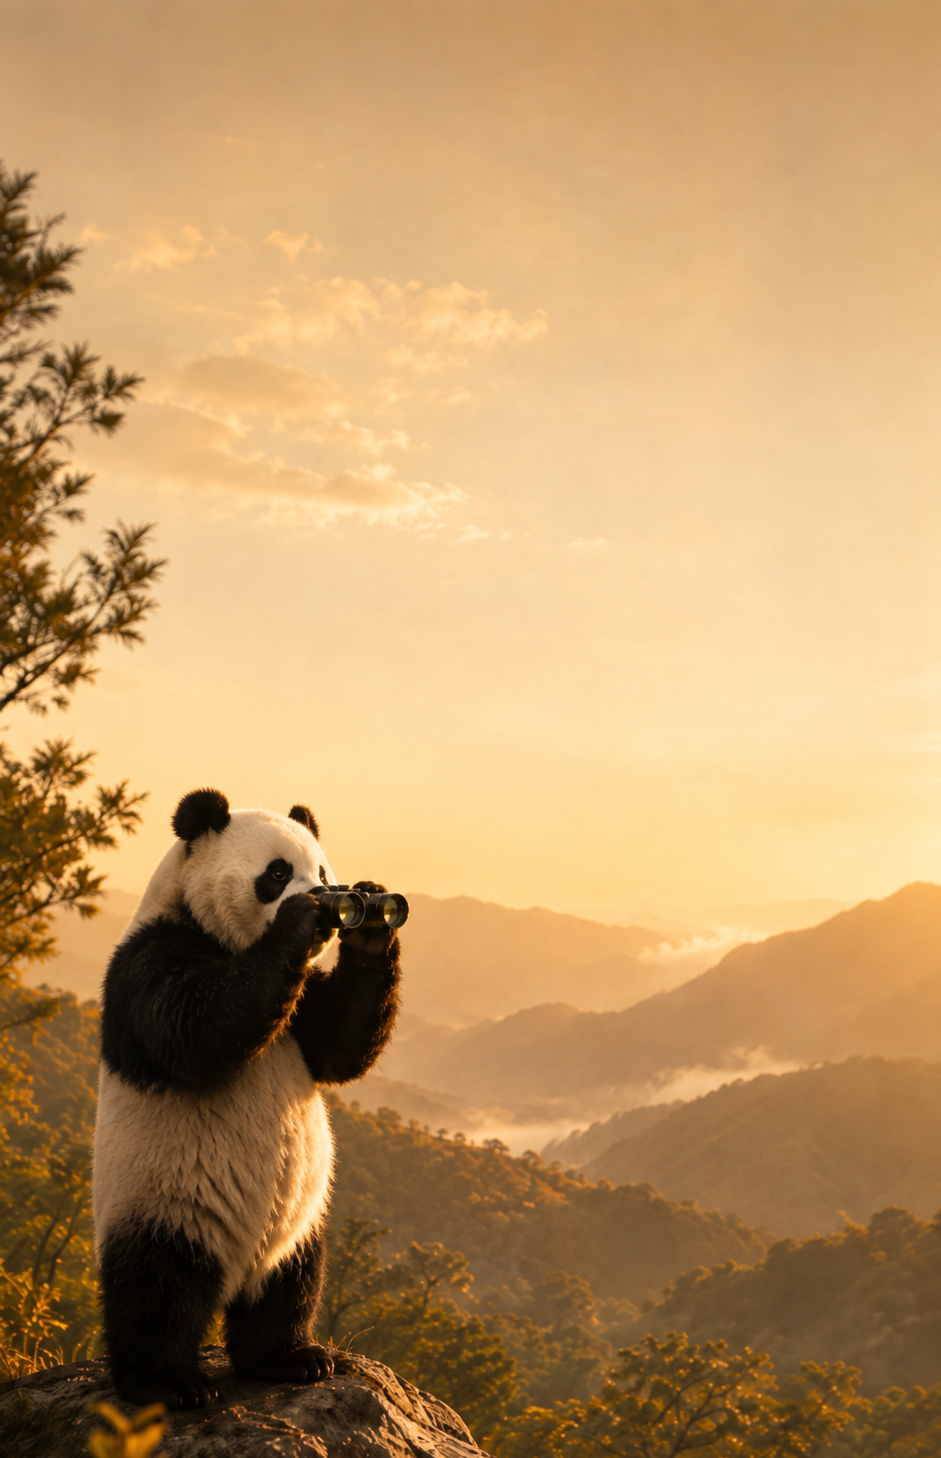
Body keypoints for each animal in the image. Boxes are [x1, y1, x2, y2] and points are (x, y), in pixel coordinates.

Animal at [92, 787, 401, 1410]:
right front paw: (301, 920)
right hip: (163, 1199)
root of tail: (237, 1267)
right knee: (157, 1288)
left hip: (301, 1222)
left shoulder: (301, 1010)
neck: (217, 934)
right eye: (276, 873)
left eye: (323, 871)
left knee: (292, 1285)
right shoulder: (149, 956)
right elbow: (196, 1028)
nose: (330, 900)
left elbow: (339, 1045)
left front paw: (372, 929)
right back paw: (168, 1383)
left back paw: (290, 1359)